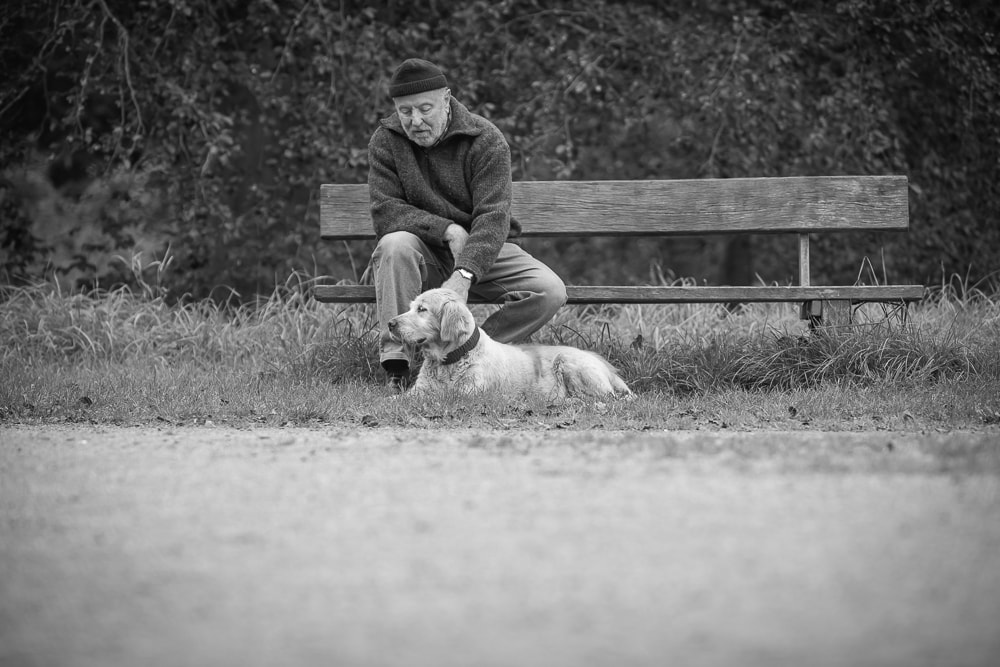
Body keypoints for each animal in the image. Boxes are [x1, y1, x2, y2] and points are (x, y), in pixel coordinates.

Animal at [386, 288, 628, 402]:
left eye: (422, 309)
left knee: (602, 398)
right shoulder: (418, 390)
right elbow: (399, 399)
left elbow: (442, 396)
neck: (450, 359)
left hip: (568, 361)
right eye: (411, 307)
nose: (390, 323)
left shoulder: (469, 393)